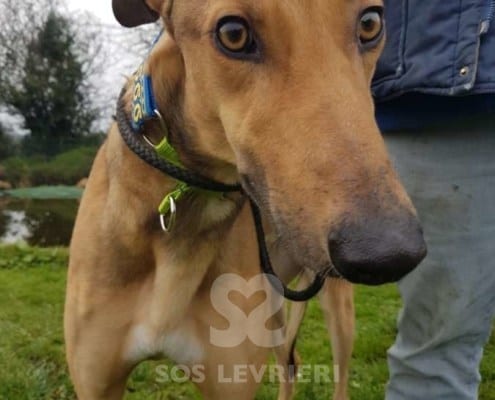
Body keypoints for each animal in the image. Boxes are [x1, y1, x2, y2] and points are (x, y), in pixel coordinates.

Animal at [64, 1, 426, 399]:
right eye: (233, 34)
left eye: (370, 22)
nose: (391, 253)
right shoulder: (96, 382)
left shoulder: (231, 380)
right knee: (290, 362)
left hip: (335, 310)